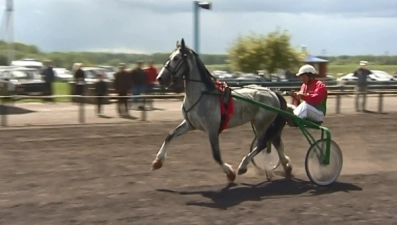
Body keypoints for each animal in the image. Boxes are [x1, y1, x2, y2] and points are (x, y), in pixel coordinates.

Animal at [150, 38, 292, 183]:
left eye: (176, 58)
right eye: (169, 57)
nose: (160, 78)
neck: (202, 95)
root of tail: (273, 93)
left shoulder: (212, 129)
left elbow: (216, 155)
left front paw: (230, 173)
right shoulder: (190, 124)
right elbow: (170, 135)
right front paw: (157, 161)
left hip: (261, 123)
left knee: (263, 143)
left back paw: (243, 166)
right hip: (262, 124)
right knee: (275, 141)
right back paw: (286, 166)